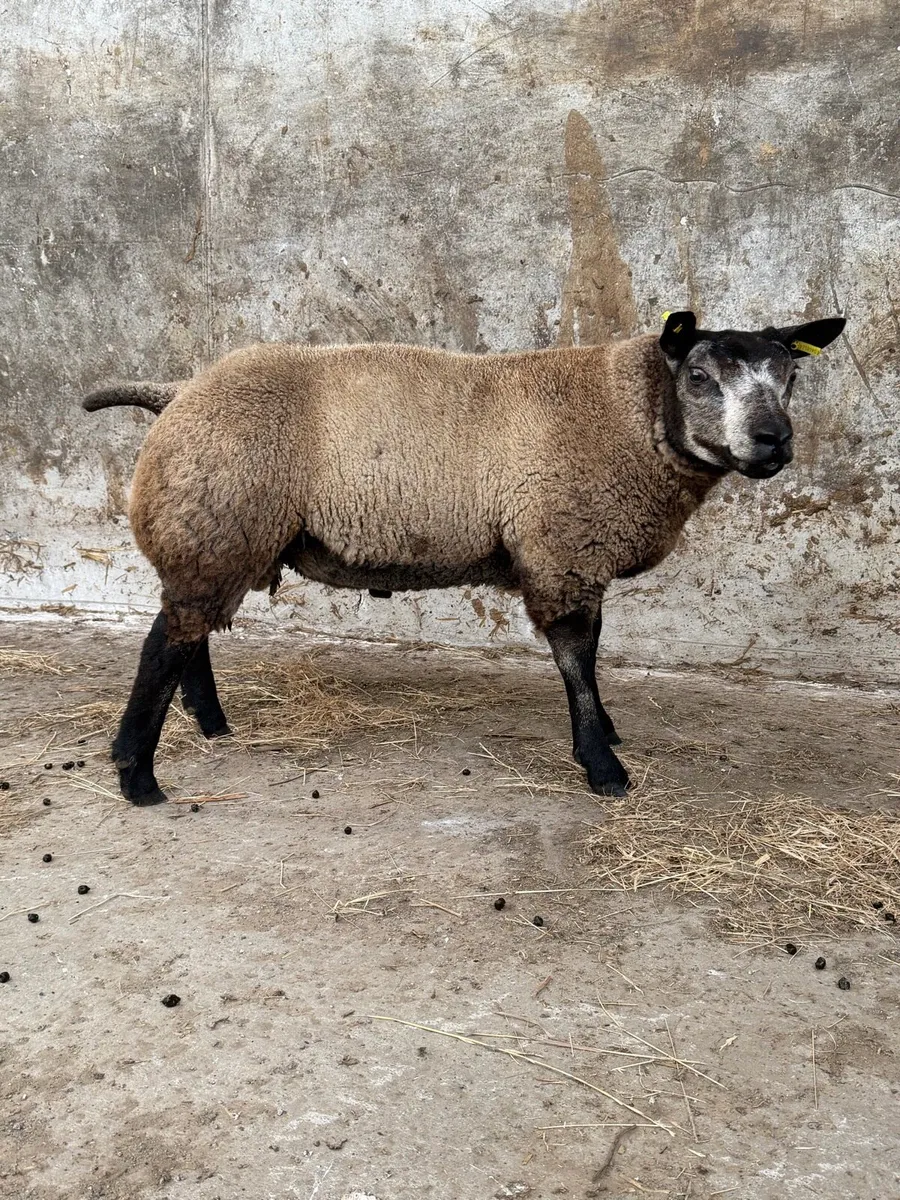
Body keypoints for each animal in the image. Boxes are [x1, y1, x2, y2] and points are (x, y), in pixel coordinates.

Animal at [83, 309, 845, 806]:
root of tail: (178, 392)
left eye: (789, 377)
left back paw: (209, 724)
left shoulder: (578, 554)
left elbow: (592, 654)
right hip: (219, 522)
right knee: (165, 644)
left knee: (188, 634)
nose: (774, 440)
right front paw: (602, 767)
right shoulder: (561, 547)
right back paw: (137, 775)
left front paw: (607, 732)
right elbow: (576, 658)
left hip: (221, 534)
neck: (626, 413)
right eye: (699, 376)